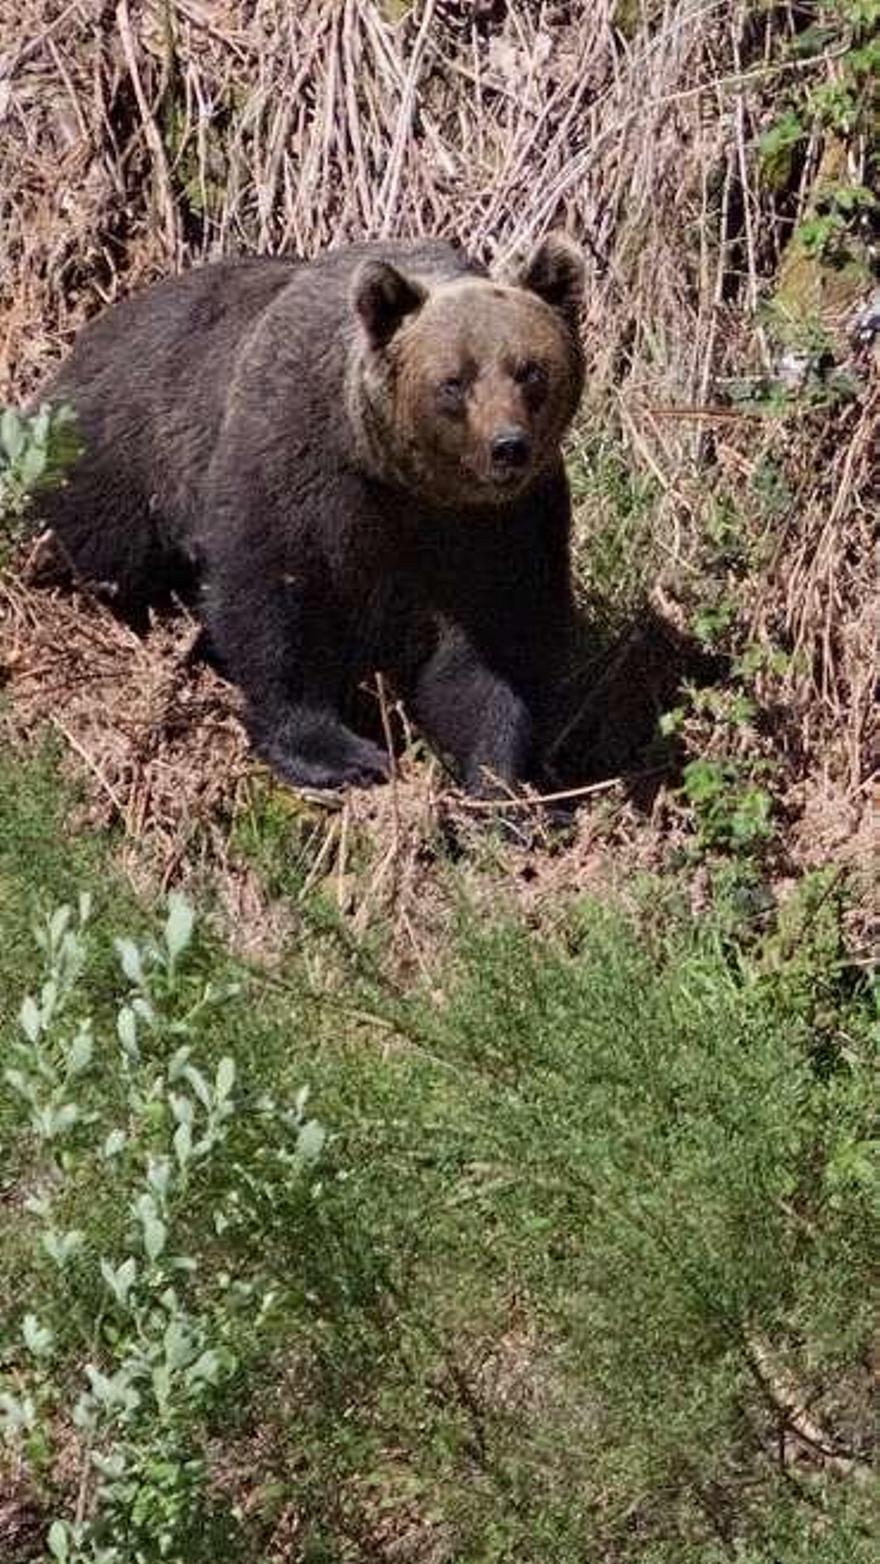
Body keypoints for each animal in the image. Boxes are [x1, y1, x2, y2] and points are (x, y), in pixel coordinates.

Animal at [39, 231, 584, 794]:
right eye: (454, 381)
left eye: (530, 370)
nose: (507, 447)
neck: (400, 479)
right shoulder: (298, 464)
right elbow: (275, 603)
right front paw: (342, 754)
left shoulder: (501, 523)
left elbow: (496, 643)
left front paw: (503, 779)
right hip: (115, 461)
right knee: (104, 550)